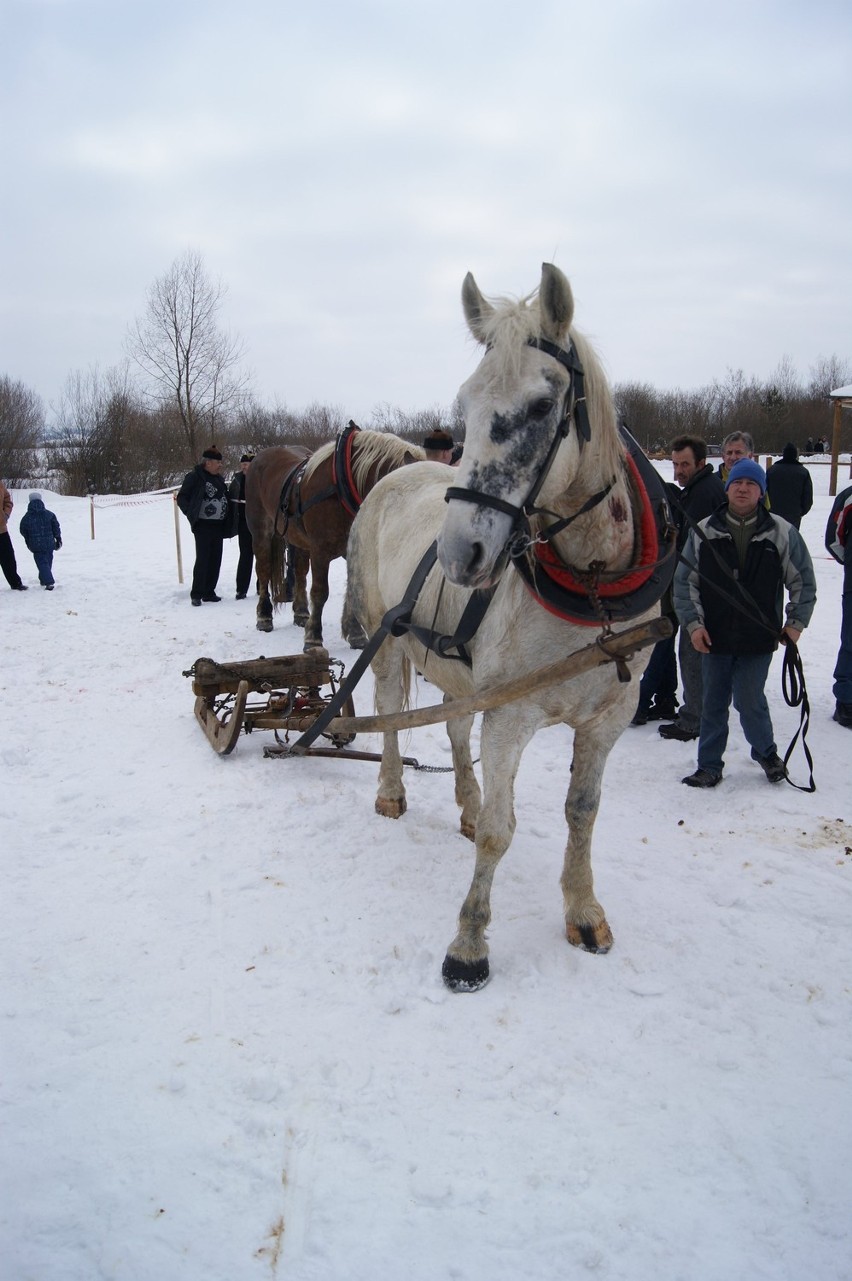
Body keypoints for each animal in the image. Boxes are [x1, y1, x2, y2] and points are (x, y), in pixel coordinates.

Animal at [244, 427, 422, 650]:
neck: (343, 485)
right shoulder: (320, 550)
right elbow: (320, 592)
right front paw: (313, 637)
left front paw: (355, 633)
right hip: (261, 532)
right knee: (264, 570)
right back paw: (264, 616)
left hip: (299, 539)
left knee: (300, 572)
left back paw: (301, 612)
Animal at [345, 262, 671, 988]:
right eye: (464, 407)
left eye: (543, 407)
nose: (458, 553)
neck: (592, 588)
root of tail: (396, 472)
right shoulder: (511, 717)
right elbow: (502, 827)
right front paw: (469, 945)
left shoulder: (609, 716)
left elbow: (582, 811)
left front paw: (583, 911)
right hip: (388, 641)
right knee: (388, 712)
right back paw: (390, 791)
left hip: (459, 667)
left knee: (454, 724)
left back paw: (462, 803)